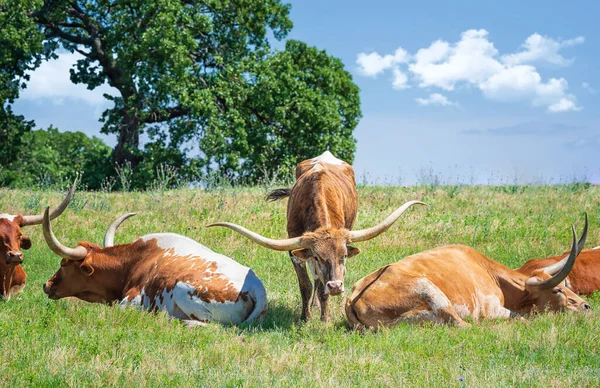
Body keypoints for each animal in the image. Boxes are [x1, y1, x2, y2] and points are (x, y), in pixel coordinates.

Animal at [42, 209, 268, 324]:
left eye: (64, 263)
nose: (46, 285)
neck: (135, 261)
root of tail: (257, 287)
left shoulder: (131, 301)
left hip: (183, 289)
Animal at [209, 152, 424, 322]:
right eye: (319, 257)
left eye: (344, 256)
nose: (336, 286)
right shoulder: (296, 253)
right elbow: (306, 285)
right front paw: (306, 317)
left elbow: (321, 288)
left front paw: (324, 318)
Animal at [346, 217, 592, 328]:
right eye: (557, 290)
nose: (587, 307)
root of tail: (352, 299)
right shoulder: (494, 310)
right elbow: (523, 319)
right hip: (433, 294)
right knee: (464, 326)